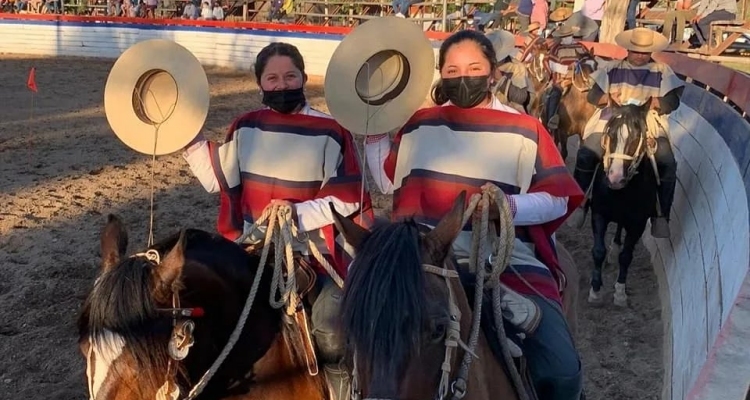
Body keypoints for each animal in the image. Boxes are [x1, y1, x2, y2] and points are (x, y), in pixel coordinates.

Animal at [588, 101, 656, 306]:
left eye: (636, 137)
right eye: (610, 133)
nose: (615, 178)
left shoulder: (637, 224)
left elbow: (626, 257)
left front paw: (620, 292)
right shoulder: (598, 213)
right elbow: (598, 251)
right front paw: (595, 290)